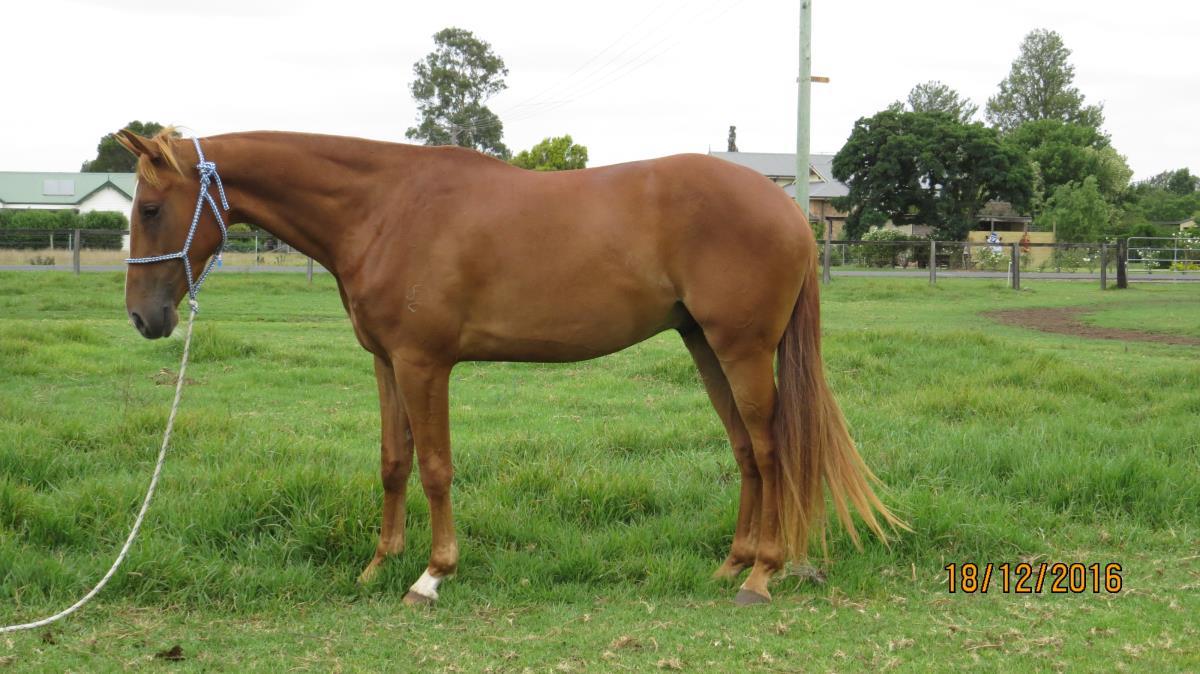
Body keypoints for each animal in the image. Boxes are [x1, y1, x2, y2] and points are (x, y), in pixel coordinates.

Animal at [117, 128, 903, 605]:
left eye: (151, 208)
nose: (143, 319)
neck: (385, 208)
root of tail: (788, 209)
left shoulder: (425, 364)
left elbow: (436, 467)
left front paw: (432, 575)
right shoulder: (386, 363)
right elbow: (393, 463)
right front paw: (379, 564)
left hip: (740, 348)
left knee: (770, 451)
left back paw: (763, 573)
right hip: (704, 344)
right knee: (744, 450)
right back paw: (733, 562)